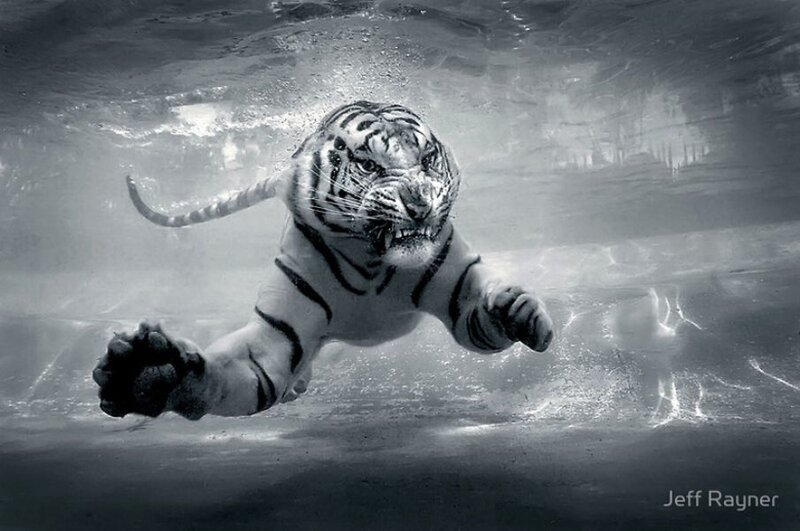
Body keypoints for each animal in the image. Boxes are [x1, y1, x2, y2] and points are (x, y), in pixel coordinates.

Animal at [92, 101, 554, 419]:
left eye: (427, 159)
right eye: (367, 165)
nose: (419, 203)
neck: (373, 262)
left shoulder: (461, 292)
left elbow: (481, 318)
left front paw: (516, 311)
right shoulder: (277, 335)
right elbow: (236, 368)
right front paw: (148, 373)